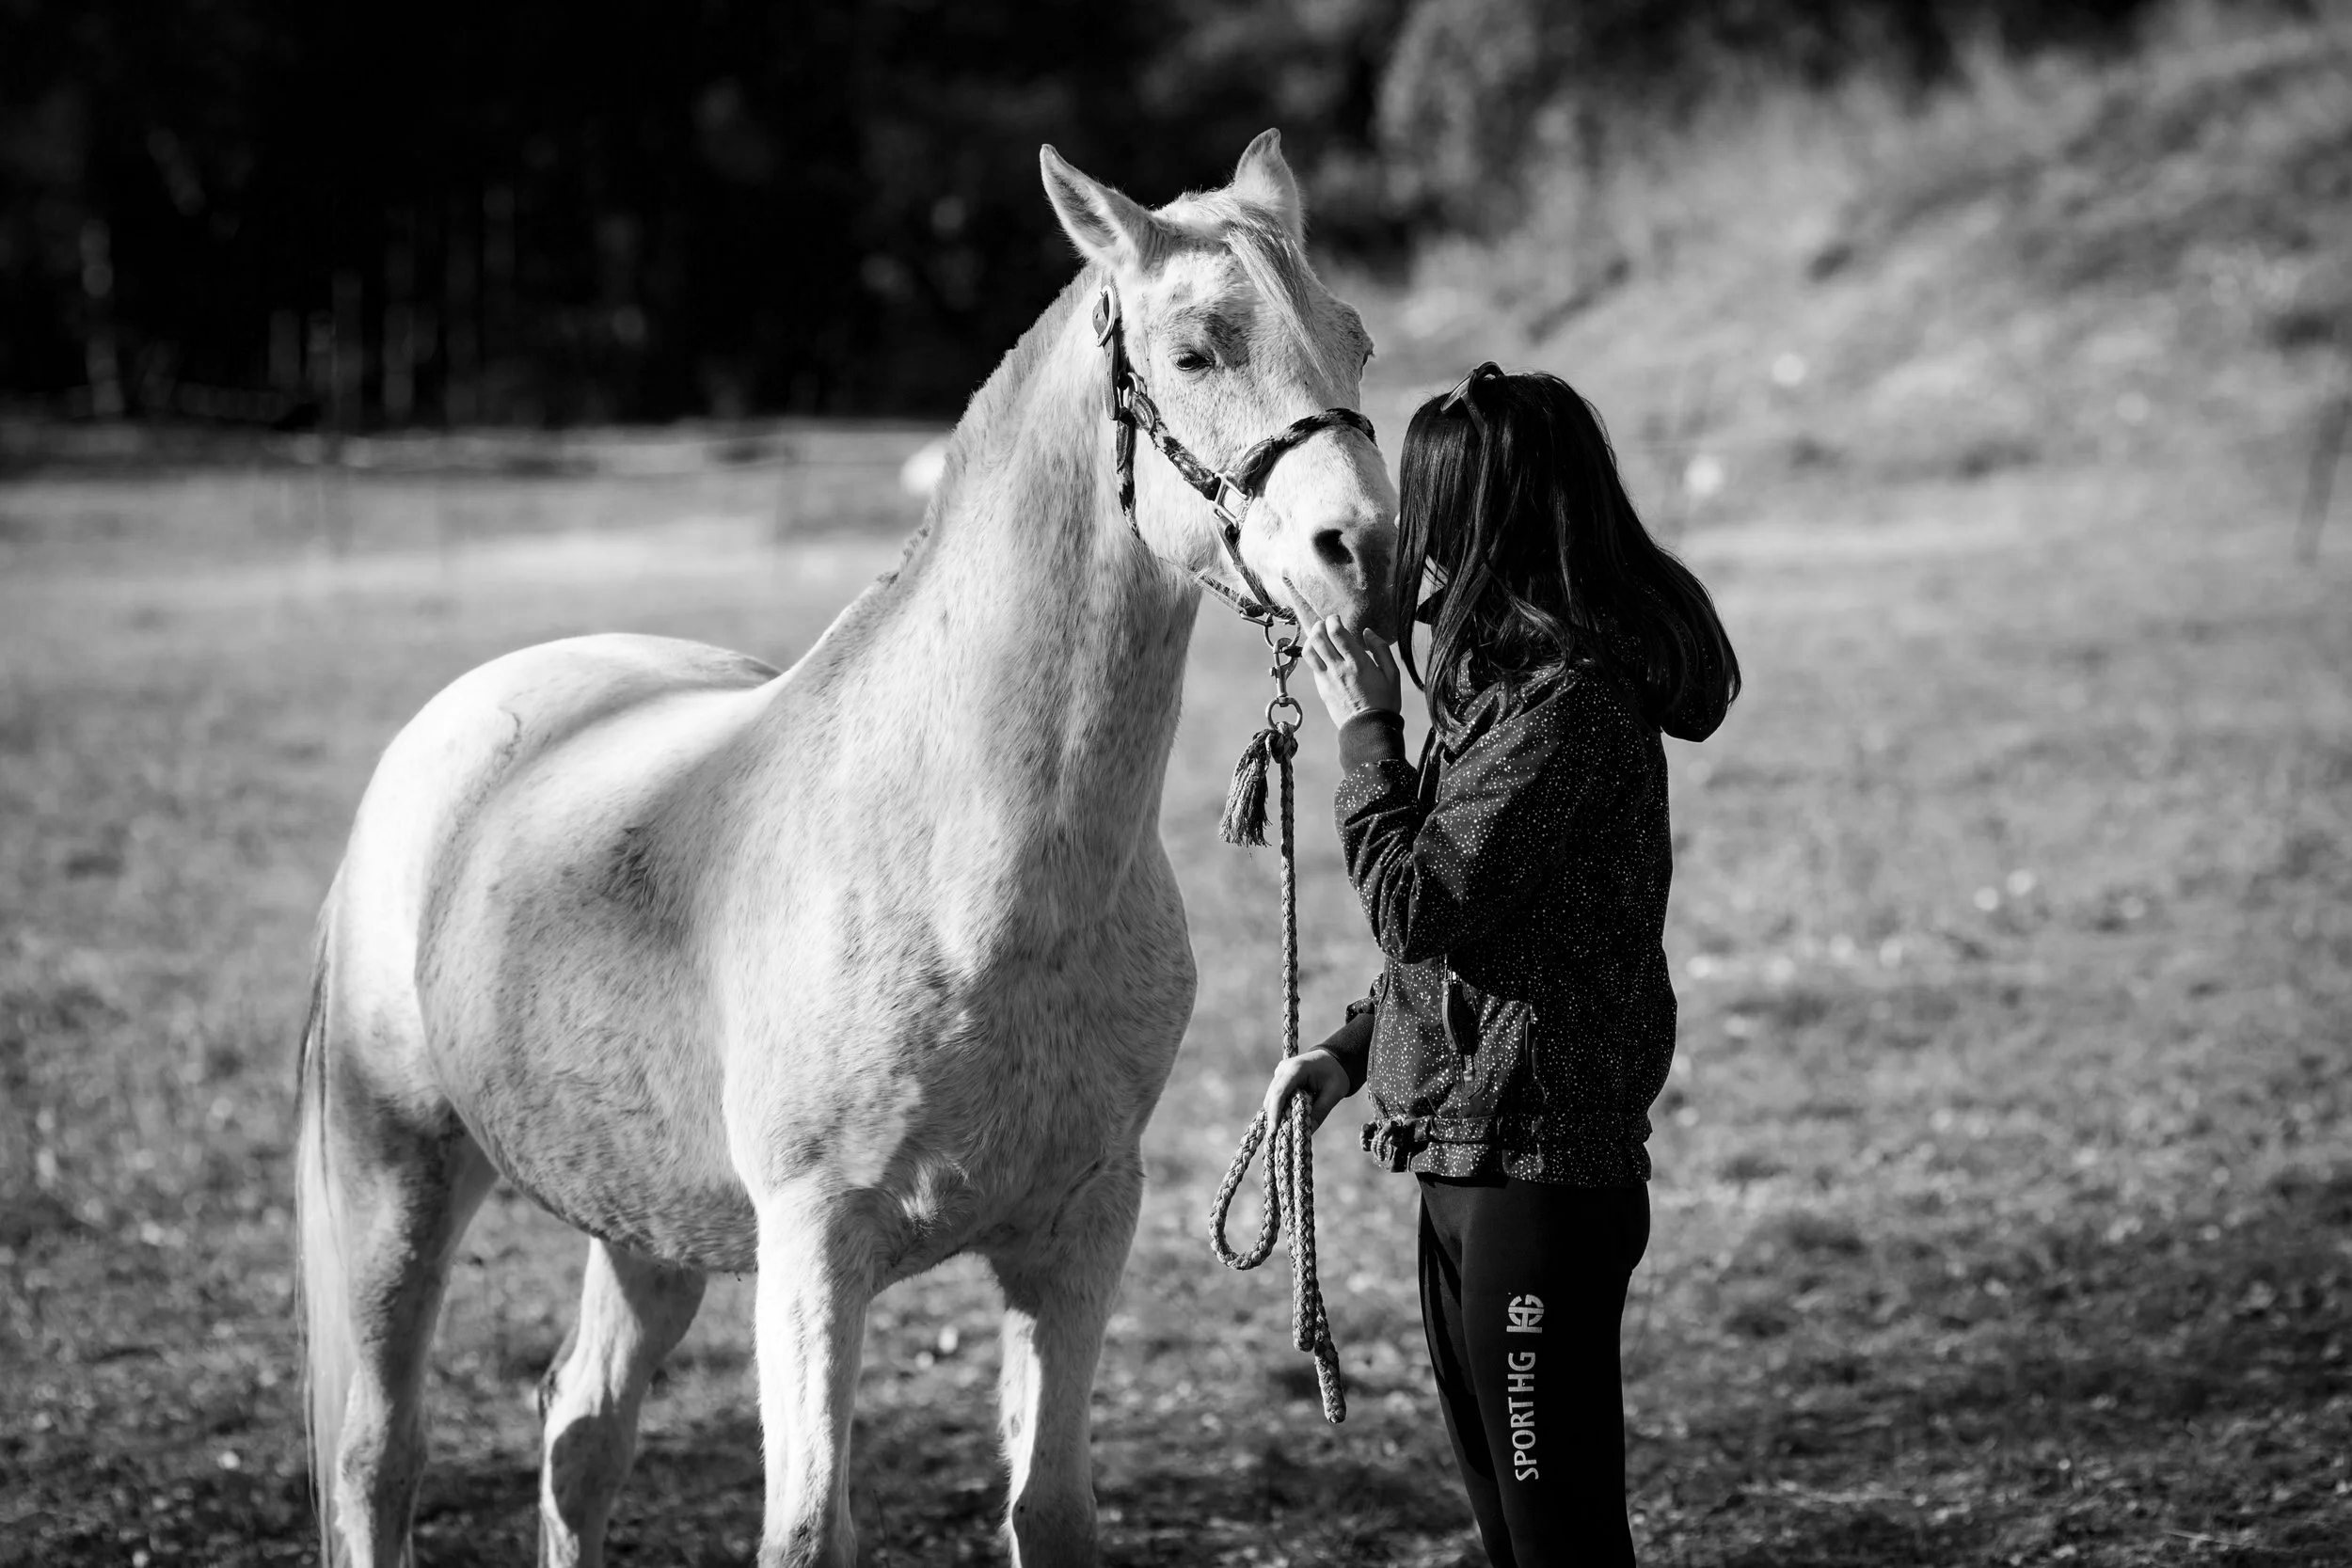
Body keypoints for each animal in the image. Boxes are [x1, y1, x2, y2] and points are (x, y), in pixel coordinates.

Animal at [295, 130, 1397, 1568]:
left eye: (1355, 340)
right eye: (1197, 350)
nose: (1364, 546)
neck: (971, 869)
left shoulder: (1079, 1230)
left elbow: (1051, 1507)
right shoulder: (818, 1248)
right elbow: (810, 1527)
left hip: (646, 1223)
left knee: (580, 1432)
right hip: (397, 1177)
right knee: (378, 1458)